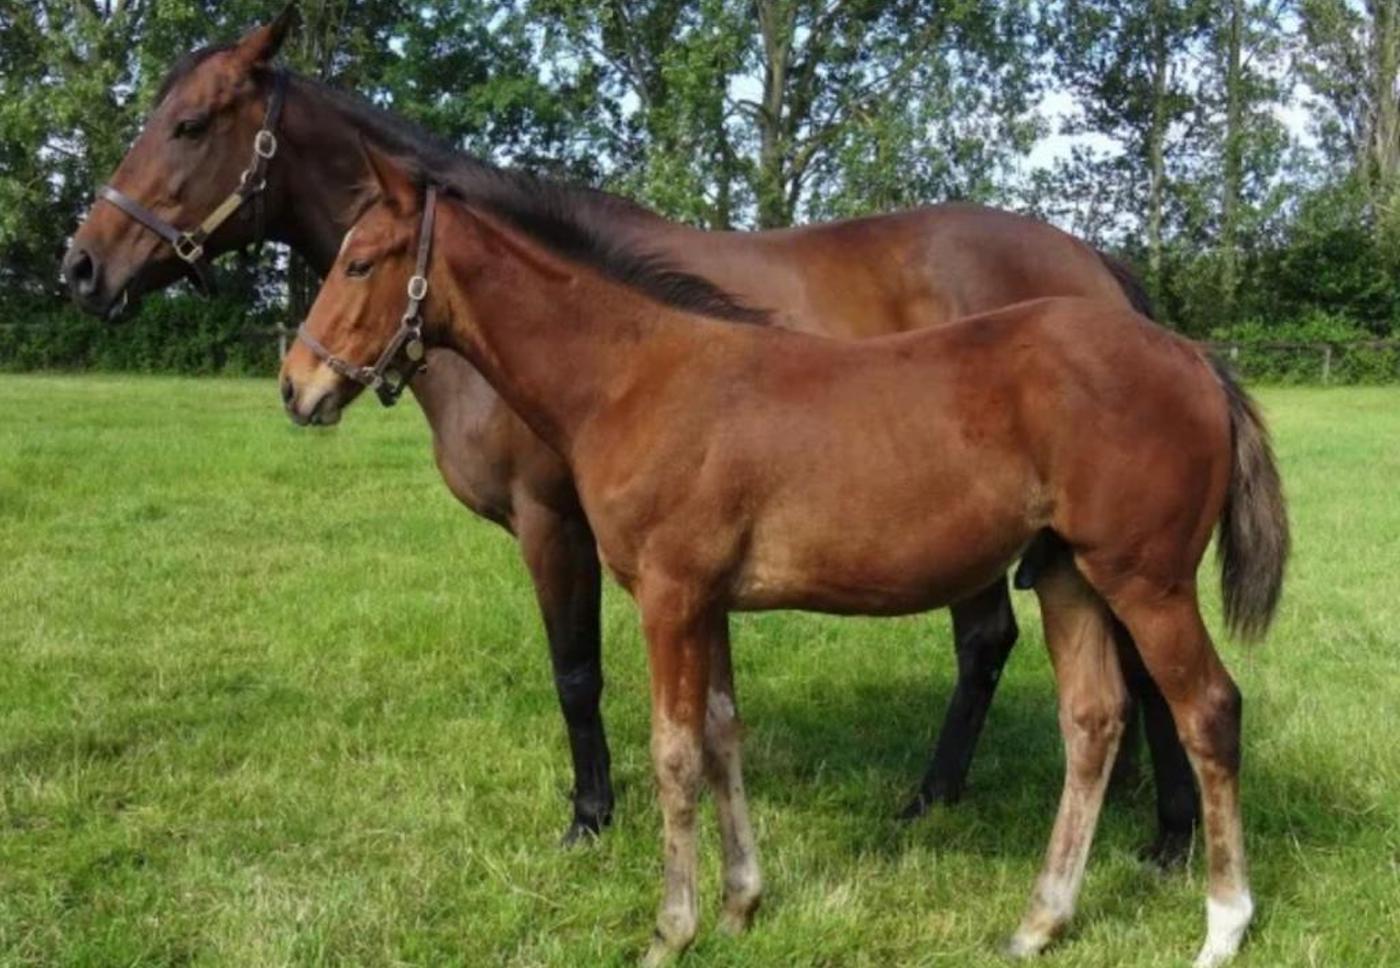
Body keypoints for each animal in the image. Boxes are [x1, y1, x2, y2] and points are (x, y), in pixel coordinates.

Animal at [63, 7, 1199, 858]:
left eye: (192, 124)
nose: (84, 264)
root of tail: (1099, 271)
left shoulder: (550, 522)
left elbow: (576, 671)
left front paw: (590, 817)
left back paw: (1159, 830)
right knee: (1001, 644)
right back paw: (960, 800)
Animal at [279, 148, 1288, 966]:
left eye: (359, 263)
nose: (297, 386)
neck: (634, 376)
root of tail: (1194, 359)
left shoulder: (668, 595)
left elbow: (674, 751)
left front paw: (669, 930)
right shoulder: (711, 601)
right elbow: (724, 735)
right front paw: (740, 905)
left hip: (1145, 580)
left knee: (1208, 709)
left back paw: (1222, 925)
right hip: (1069, 573)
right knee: (1093, 720)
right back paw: (1039, 924)